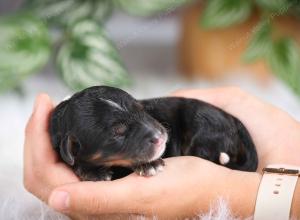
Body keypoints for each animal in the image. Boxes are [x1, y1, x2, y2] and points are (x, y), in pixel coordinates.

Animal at [48, 86, 258, 180]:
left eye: (141, 110)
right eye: (118, 131)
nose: (161, 136)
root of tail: (233, 120)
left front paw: (151, 165)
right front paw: (92, 172)